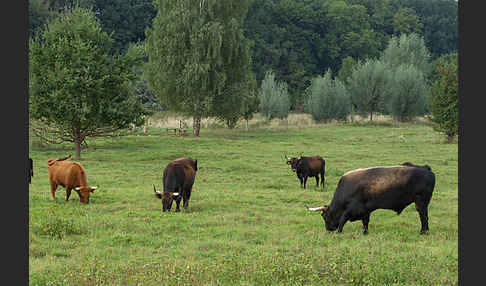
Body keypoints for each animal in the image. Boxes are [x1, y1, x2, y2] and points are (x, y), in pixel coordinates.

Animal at [306, 163, 434, 235]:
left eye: (324, 216)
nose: (328, 229)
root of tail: (425, 168)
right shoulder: (365, 210)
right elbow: (365, 222)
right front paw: (365, 233)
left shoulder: (351, 209)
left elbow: (343, 220)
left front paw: (339, 232)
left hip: (421, 202)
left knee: (423, 217)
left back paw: (423, 232)